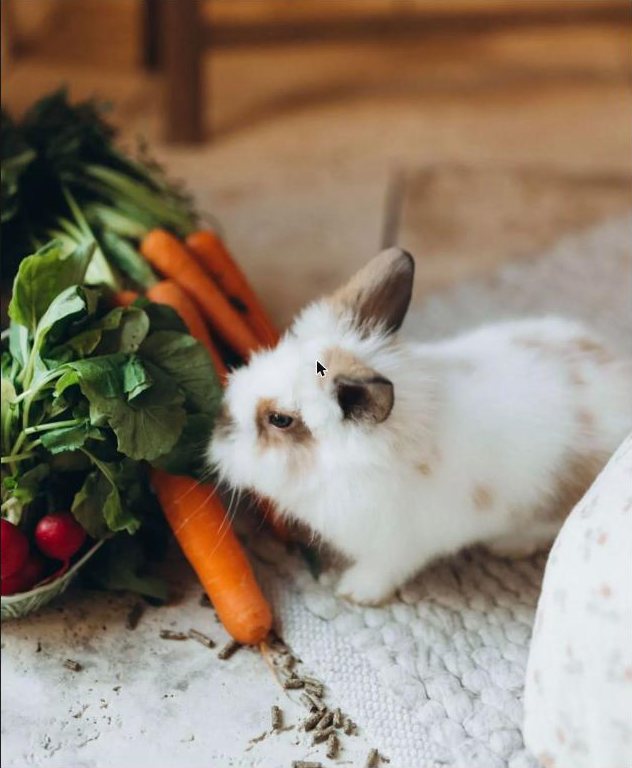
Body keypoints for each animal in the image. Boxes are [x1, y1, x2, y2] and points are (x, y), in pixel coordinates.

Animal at [209, 248, 632, 605]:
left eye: (279, 419)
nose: (221, 427)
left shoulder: (399, 544)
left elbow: (383, 569)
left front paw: (355, 592)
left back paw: (508, 545)